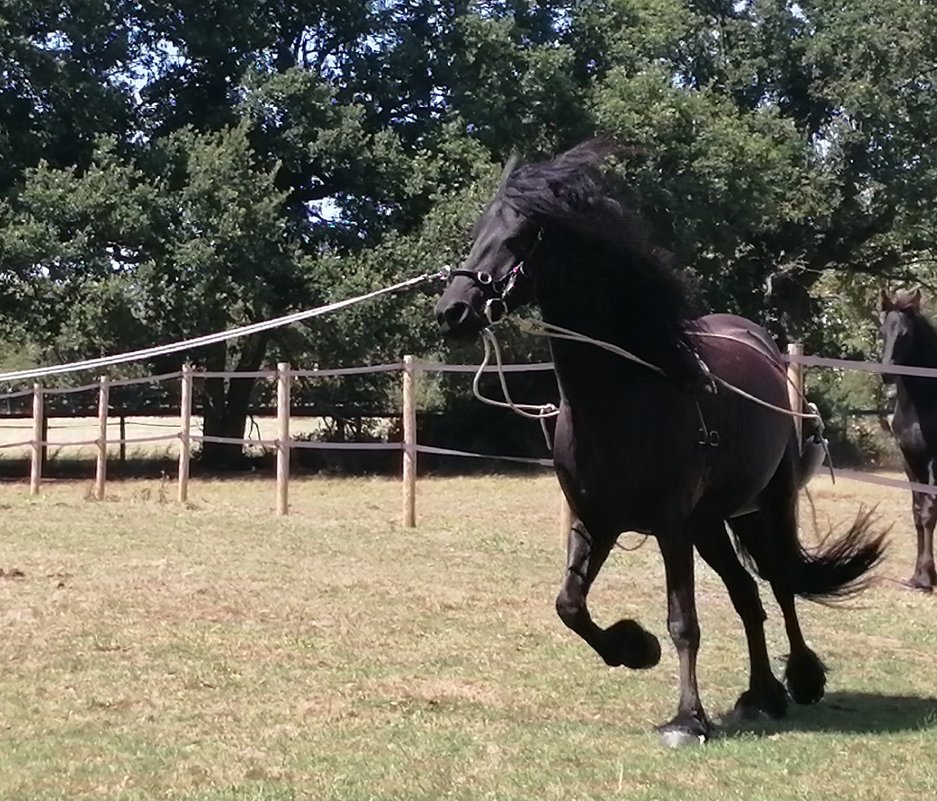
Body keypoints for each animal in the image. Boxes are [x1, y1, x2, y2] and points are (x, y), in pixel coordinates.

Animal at [434, 141, 884, 748]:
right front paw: (633, 648)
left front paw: (687, 720)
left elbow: (683, 622)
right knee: (747, 595)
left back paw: (801, 680)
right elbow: (569, 606)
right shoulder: (595, 520)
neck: (624, 396)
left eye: (523, 235)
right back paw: (762, 696)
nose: (452, 311)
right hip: (711, 524)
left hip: (760, 507)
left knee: (780, 585)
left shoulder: (670, 526)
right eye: (481, 228)